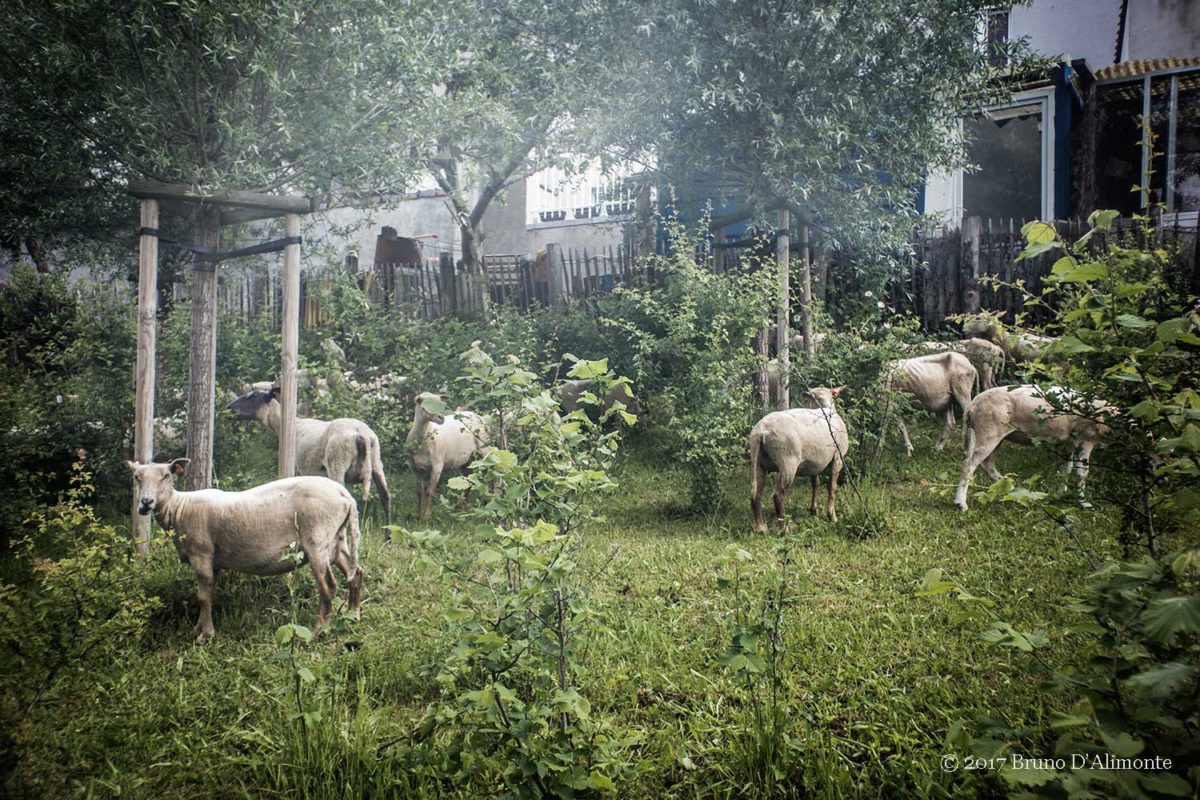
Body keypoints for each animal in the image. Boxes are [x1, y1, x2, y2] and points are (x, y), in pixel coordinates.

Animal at [127, 460, 360, 642]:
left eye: (166, 476)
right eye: (137, 477)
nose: (146, 503)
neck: (179, 508)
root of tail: (343, 494)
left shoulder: (201, 554)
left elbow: (202, 597)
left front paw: (206, 635)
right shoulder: (214, 561)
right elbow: (207, 593)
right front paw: (198, 628)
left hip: (317, 541)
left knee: (329, 587)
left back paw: (318, 631)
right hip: (336, 541)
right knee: (355, 574)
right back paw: (353, 614)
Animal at [225, 388, 393, 525]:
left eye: (252, 396)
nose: (228, 408)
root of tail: (360, 434)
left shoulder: (299, 469)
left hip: (337, 464)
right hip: (376, 463)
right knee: (386, 498)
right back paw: (388, 538)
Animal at [744, 388, 849, 532]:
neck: (825, 407)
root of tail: (762, 431)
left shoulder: (815, 463)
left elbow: (815, 484)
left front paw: (813, 510)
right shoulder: (838, 458)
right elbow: (832, 488)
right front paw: (831, 516)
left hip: (758, 461)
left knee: (755, 494)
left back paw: (761, 528)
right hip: (788, 461)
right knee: (778, 495)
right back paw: (784, 529)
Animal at [955, 388, 1113, 513]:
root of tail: (972, 405)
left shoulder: (1066, 443)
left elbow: (1065, 469)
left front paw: (1061, 495)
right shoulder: (1085, 438)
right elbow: (1082, 472)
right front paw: (1084, 503)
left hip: (996, 436)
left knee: (987, 464)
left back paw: (1012, 489)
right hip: (989, 431)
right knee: (969, 464)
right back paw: (961, 503)